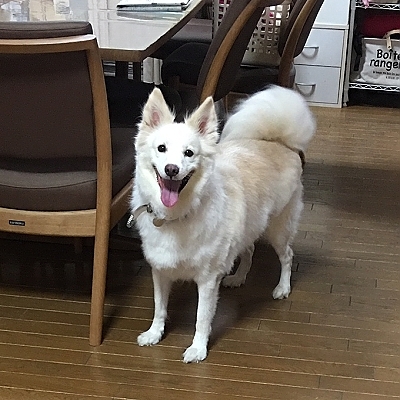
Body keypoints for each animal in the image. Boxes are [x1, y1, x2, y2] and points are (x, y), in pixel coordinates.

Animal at [130, 85, 316, 363]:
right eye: (161, 148)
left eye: (189, 153)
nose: (171, 169)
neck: (176, 213)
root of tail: (279, 143)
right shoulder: (160, 270)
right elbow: (159, 307)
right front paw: (154, 333)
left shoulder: (207, 280)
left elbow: (201, 318)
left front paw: (198, 349)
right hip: (249, 225)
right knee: (249, 250)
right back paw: (238, 277)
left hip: (278, 229)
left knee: (287, 256)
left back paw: (282, 288)